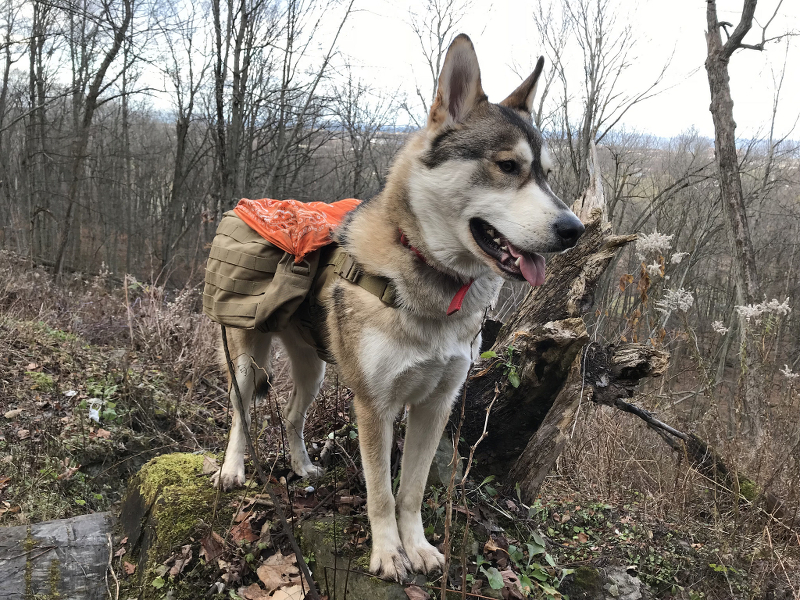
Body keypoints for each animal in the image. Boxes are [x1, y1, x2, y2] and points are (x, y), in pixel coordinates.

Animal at [212, 34, 584, 580]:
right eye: (507, 166)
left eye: (547, 175)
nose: (574, 229)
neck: (435, 283)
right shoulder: (375, 406)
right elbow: (381, 493)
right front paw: (388, 553)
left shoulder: (435, 406)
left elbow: (411, 490)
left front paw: (419, 547)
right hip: (246, 360)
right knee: (242, 415)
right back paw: (233, 469)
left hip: (313, 369)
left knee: (293, 417)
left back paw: (301, 465)